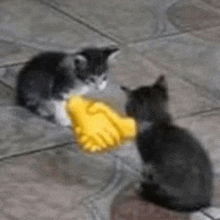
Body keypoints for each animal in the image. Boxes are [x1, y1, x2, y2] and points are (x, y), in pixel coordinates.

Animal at [122, 75, 213, 211]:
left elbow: (146, 171)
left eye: (128, 107)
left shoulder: (148, 160)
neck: (158, 122)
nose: (126, 113)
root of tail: (201, 202)